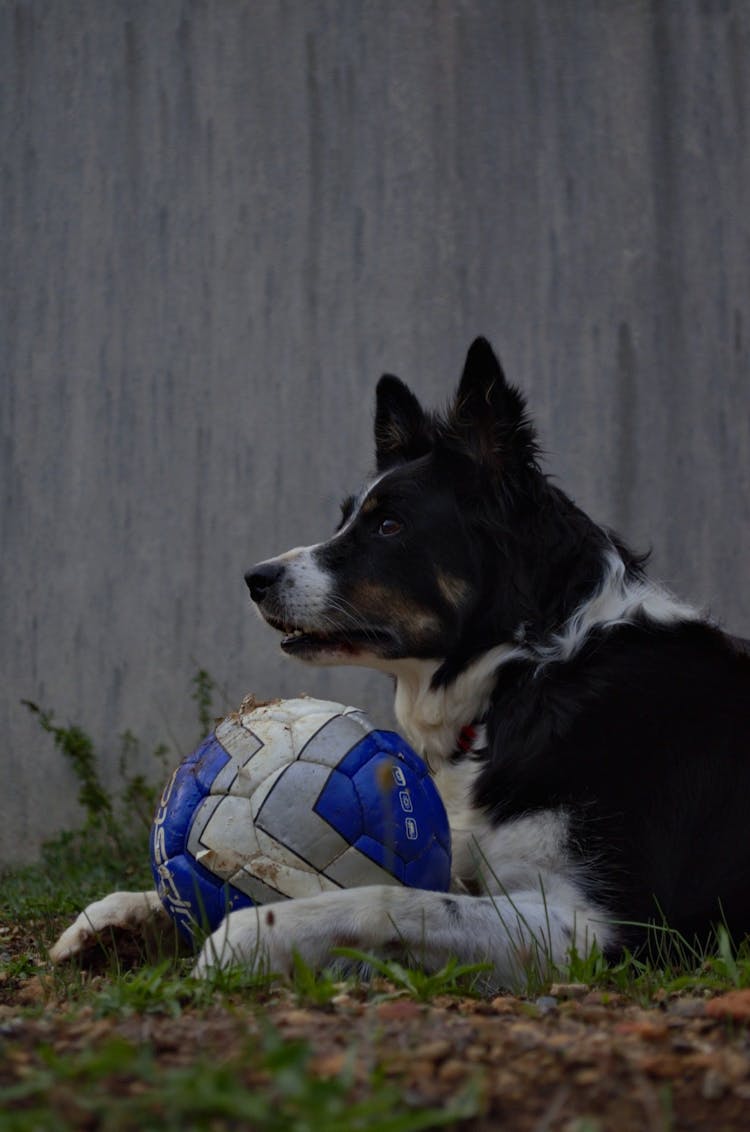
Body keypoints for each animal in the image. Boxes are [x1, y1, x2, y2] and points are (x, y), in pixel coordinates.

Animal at [51, 339, 750, 987]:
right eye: (343, 520)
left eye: (388, 526)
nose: (255, 578)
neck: (527, 671)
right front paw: (124, 912)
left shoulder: (601, 926)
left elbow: (392, 898)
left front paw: (252, 932)